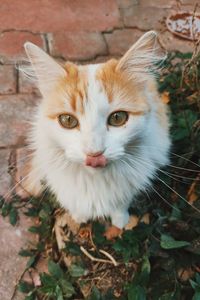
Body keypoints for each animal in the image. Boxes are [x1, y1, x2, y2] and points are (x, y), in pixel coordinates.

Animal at [23, 31, 170, 237]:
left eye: (118, 118)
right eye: (67, 120)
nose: (94, 154)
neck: (95, 182)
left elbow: (120, 205)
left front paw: (120, 220)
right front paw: (79, 217)